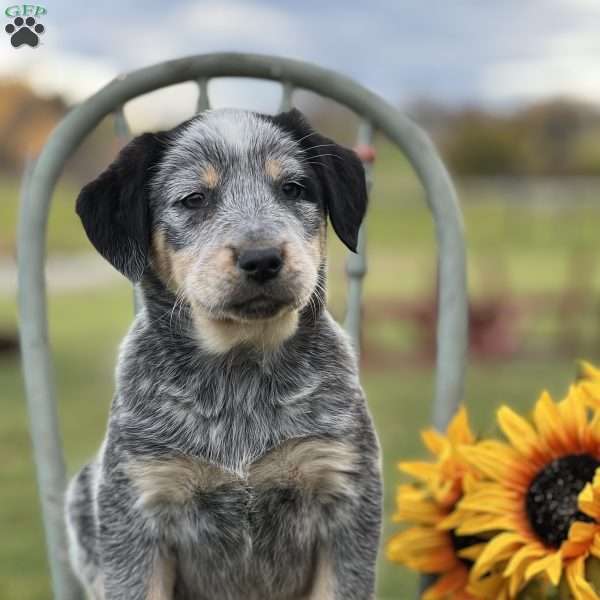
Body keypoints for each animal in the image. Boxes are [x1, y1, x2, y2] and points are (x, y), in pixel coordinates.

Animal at [65, 108, 382, 600]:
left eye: (293, 189)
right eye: (194, 199)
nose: (262, 258)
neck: (241, 368)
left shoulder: (345, 498)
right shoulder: (138, 508)